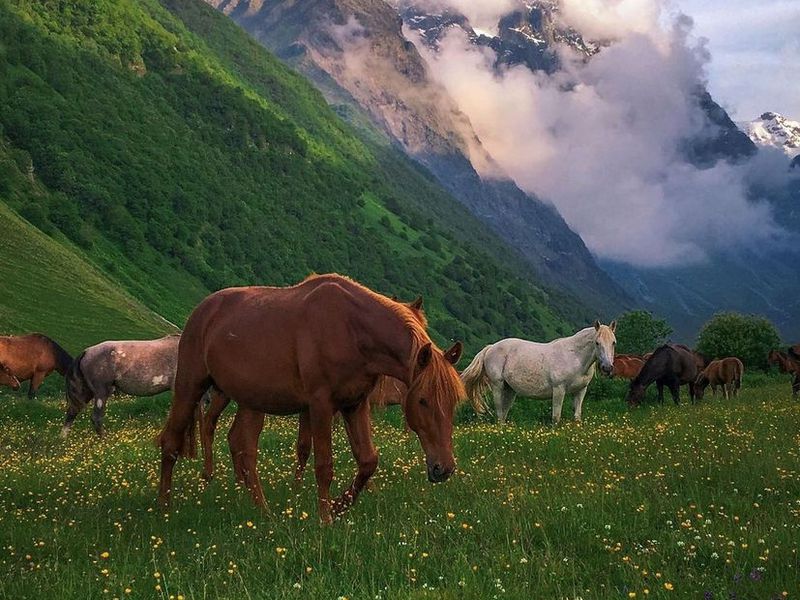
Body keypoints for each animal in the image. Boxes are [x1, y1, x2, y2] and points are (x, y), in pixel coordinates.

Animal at [158, 274, 468, 524]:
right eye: (423, 401)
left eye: (453, 403)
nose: (443, 468)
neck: (350, 329)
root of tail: (202, 310)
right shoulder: (320, 405)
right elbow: (323, 465)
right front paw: (325, 519)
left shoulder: (355, 404)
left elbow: (368, 461)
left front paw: (339, 505)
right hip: (190, 387)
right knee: (172, 442)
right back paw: (164, 508)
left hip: (251, 400)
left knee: (243, 448)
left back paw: (263, 511)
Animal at [456, 322, 620, 424]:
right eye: (597, 343)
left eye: (613, 342)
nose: (607, 368)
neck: (574, 357)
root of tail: (491, 348)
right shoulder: (559, 390)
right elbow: (556, 416)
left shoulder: (580, 391)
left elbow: (577, 416)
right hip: (498, 386)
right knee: (499, 411)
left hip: (510, 390)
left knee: (503, 413)